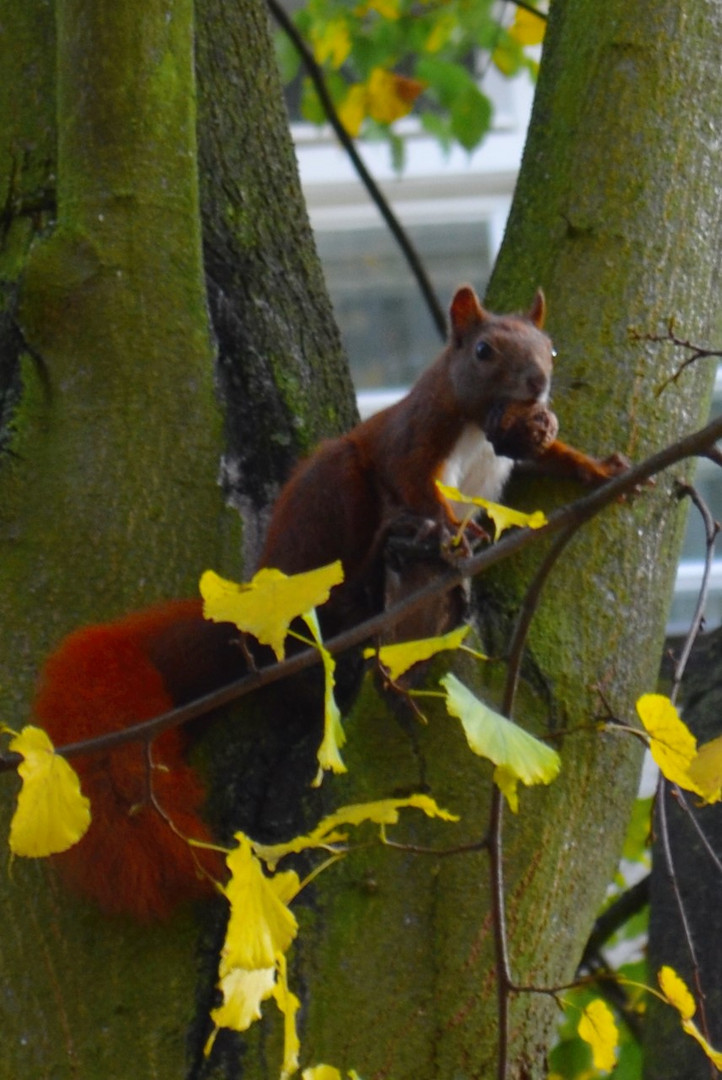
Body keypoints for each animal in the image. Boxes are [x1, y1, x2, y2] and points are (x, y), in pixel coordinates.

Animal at [31, 285, 621, 920]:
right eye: (485, 350)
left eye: (550, 348)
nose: (538, 383)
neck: (477, 422)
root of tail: (261, 603)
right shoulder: (414, 439)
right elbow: (416, 483)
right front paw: (448, 533)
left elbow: (549, 454)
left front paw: (597, 468)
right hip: (332, 495)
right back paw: (380, 559)